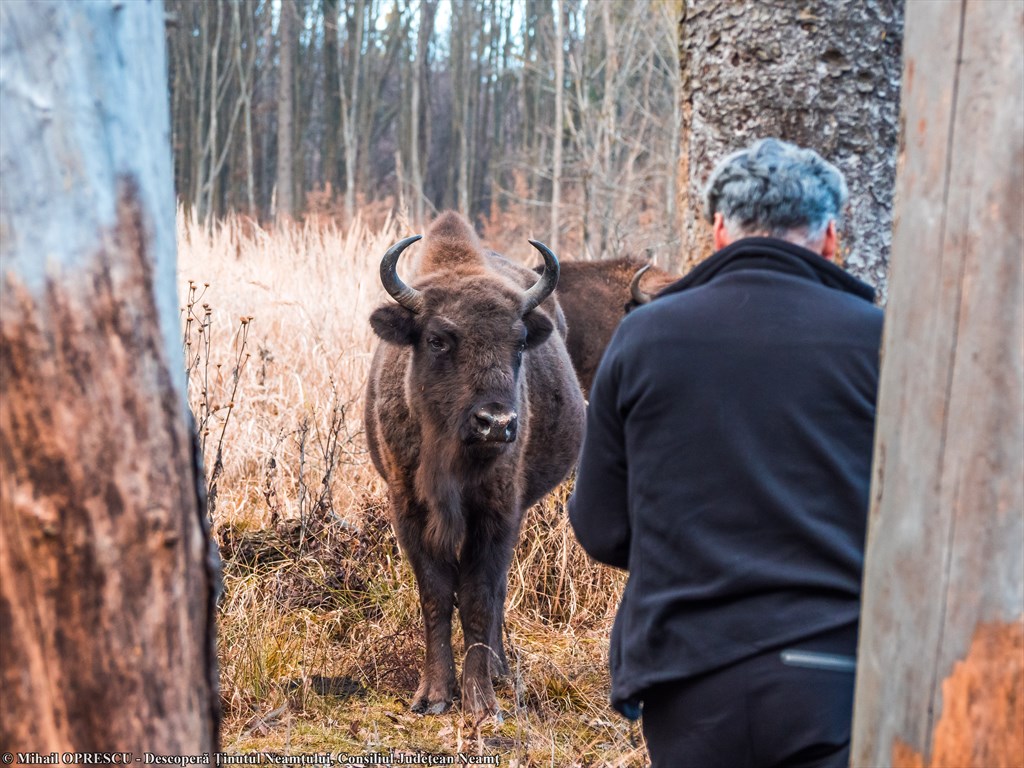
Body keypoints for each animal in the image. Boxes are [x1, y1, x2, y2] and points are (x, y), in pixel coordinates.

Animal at [364, 212, 586, 717]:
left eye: (519, 343)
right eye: (437, 340)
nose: (496, 424)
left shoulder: (497, 514)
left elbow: (479, 599)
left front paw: (482, 701)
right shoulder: (410, 512)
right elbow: (436, 596)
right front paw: (432, 696)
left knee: (498, 591)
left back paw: (501, 672)